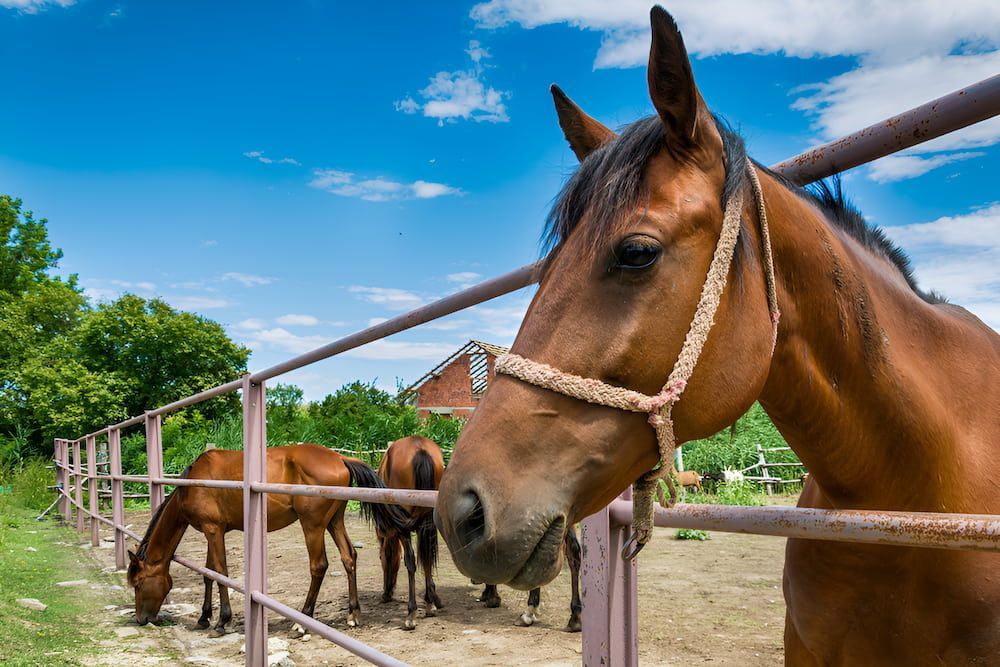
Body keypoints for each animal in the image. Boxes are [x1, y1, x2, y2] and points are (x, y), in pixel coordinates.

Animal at [126, 443, 410, 633]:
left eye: (138, 584)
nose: (141, 619)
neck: (194, 483)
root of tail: (340, 458)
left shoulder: (213, 530)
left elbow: (220, 572)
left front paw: (222, 620)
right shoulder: (213, 532)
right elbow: (209, 573)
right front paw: (204, 617)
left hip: (313, 525)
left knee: (319, 565)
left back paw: (303, 620)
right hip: (334, 521)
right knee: (348, 557)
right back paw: (353, 614)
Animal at [376, 435, 445, 630]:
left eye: (381, 557)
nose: (386, 593)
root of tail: (419, 447)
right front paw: (433, 600)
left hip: (404, 529)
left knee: (412, 561)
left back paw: (411, 613)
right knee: (427, 557)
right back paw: (429, 603)